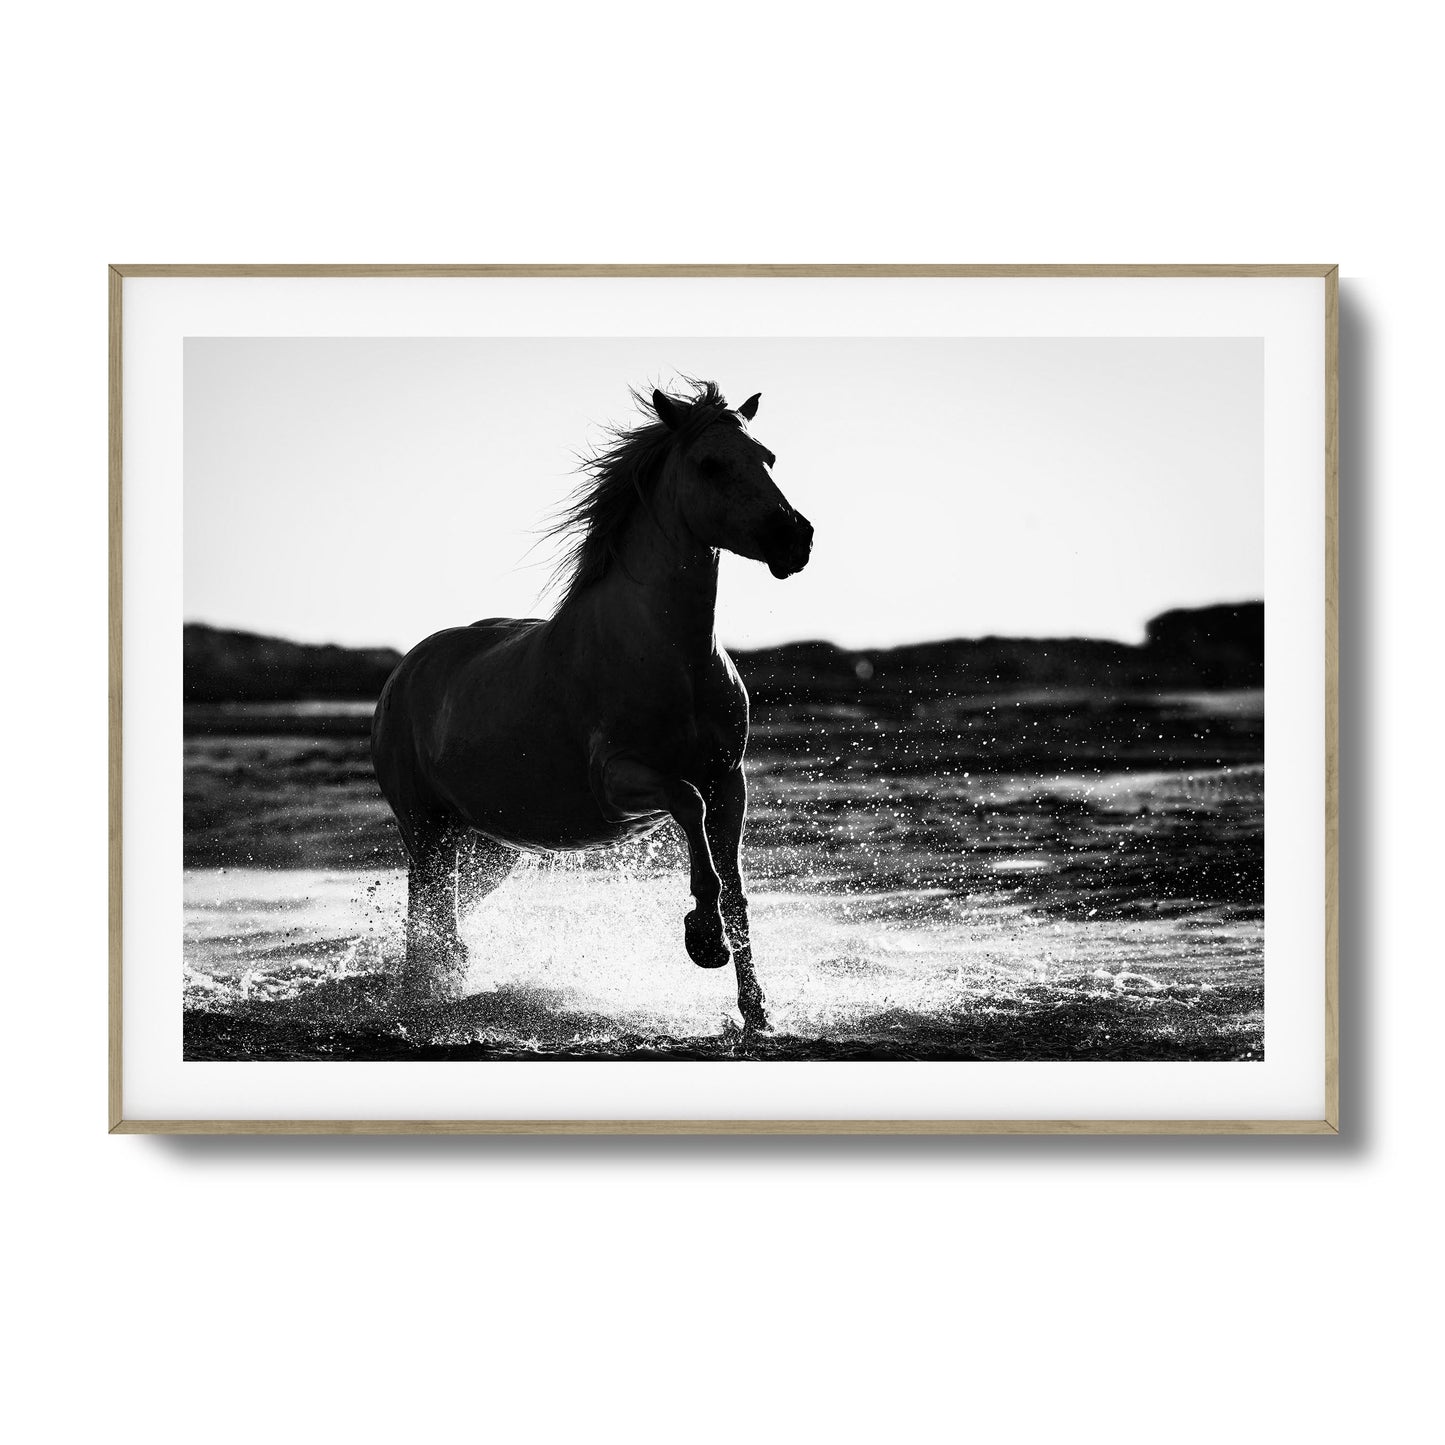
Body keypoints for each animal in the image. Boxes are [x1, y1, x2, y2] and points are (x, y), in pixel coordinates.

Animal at [370, 381, 813, 1034]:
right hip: (426, 830)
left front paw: (757, 1012)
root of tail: (401, 675)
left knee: (442, 919)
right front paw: (702, 939)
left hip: (487, 847)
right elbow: (689, 807)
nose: (794, 539)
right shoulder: (620, 780)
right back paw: (423, 997)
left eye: (768, 458)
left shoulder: (729, 781)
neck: (670, 657)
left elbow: (735, 888)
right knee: (426, 920)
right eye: (710, 463)